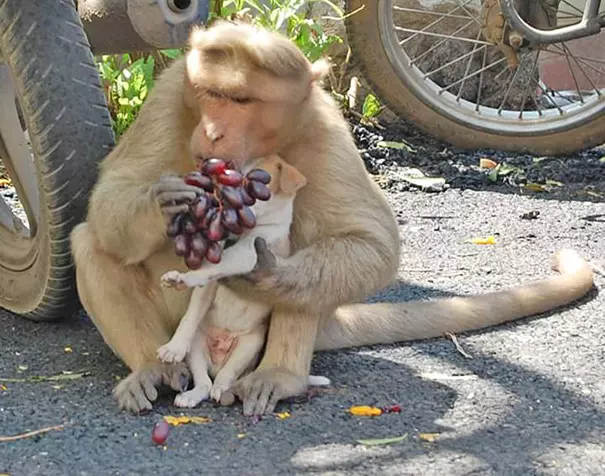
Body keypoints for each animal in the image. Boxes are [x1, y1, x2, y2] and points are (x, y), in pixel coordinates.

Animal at [153, 154, 328, 408]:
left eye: (252, 186)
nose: (224, 202)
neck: (244, 234)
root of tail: (217, 361)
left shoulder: (249, 255)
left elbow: (217, 265)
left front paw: (183, 278)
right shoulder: (208, 287)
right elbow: (192, 311)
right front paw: (173, 348)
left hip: (249, 346)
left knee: (225, 378)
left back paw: (224, 390)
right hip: (198, 345)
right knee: (204, 382)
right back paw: (191, 396)